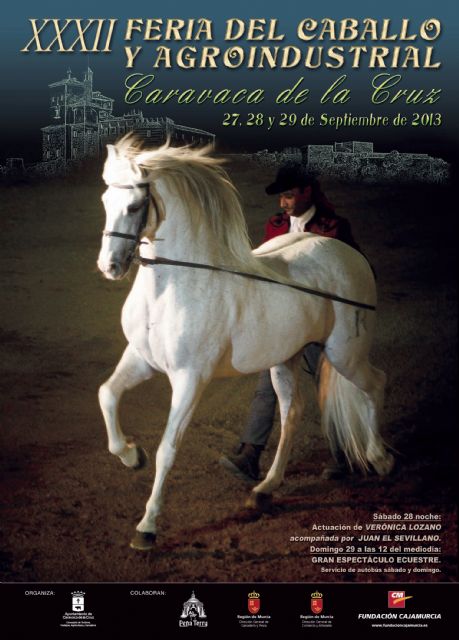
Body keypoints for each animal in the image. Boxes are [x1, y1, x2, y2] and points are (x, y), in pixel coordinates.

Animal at [97, 136, 394, 550]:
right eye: (106, 200)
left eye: (136, 205)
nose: (109, 267)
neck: (176, 286)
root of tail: (351, 255)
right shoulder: (142, 359)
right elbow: (107, 395)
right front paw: (130, 455)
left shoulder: (190, 378)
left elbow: (167, 449)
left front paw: (147, 527)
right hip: (284, 360)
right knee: (292, 412)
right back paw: (265, 489)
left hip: (345, 354)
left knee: (375, 384)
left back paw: (379, 459)